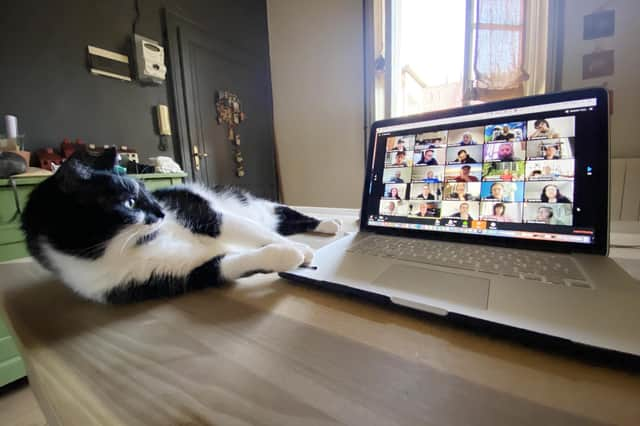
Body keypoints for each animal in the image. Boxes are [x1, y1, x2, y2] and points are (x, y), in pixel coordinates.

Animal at [20, 148, 340, 304]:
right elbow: (225, 266)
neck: (137, 243)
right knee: (283, 222)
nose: (161, 211)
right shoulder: (168, 277)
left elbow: (242, 230)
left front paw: (302, 250)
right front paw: (289, 254)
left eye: (146, 192)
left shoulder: (204, 213)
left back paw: (330, 223)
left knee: (285, 216)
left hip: (258, 208)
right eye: (130, 203)